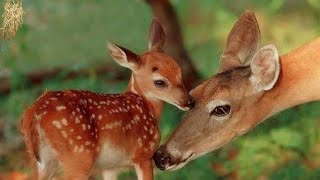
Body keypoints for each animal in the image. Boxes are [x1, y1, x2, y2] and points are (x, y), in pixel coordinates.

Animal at [21, 19, 194, 179]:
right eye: (160, 82)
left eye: (179, 71)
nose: (189, 101)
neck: (145, 105)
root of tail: (35, 112)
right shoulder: (143, 153)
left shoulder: (110, 167)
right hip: (78, 155)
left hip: (39, 159)